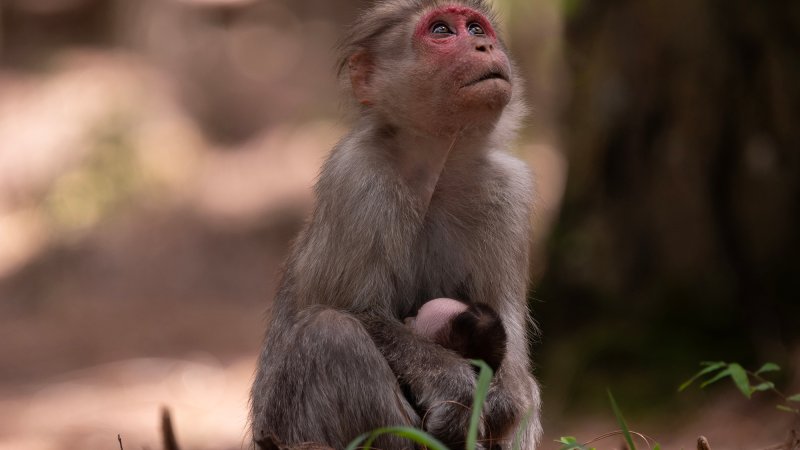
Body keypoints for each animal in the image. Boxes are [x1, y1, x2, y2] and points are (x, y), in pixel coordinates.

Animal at [248, 0, 544, 448]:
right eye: (441, 30)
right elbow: (359, 311)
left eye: (476, 28)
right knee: (333, 335)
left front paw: (503, 397)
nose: (484, 45)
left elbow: (510, 340)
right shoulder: (357, 176)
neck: (437, 170)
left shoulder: (509, 192)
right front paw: (453, 383)